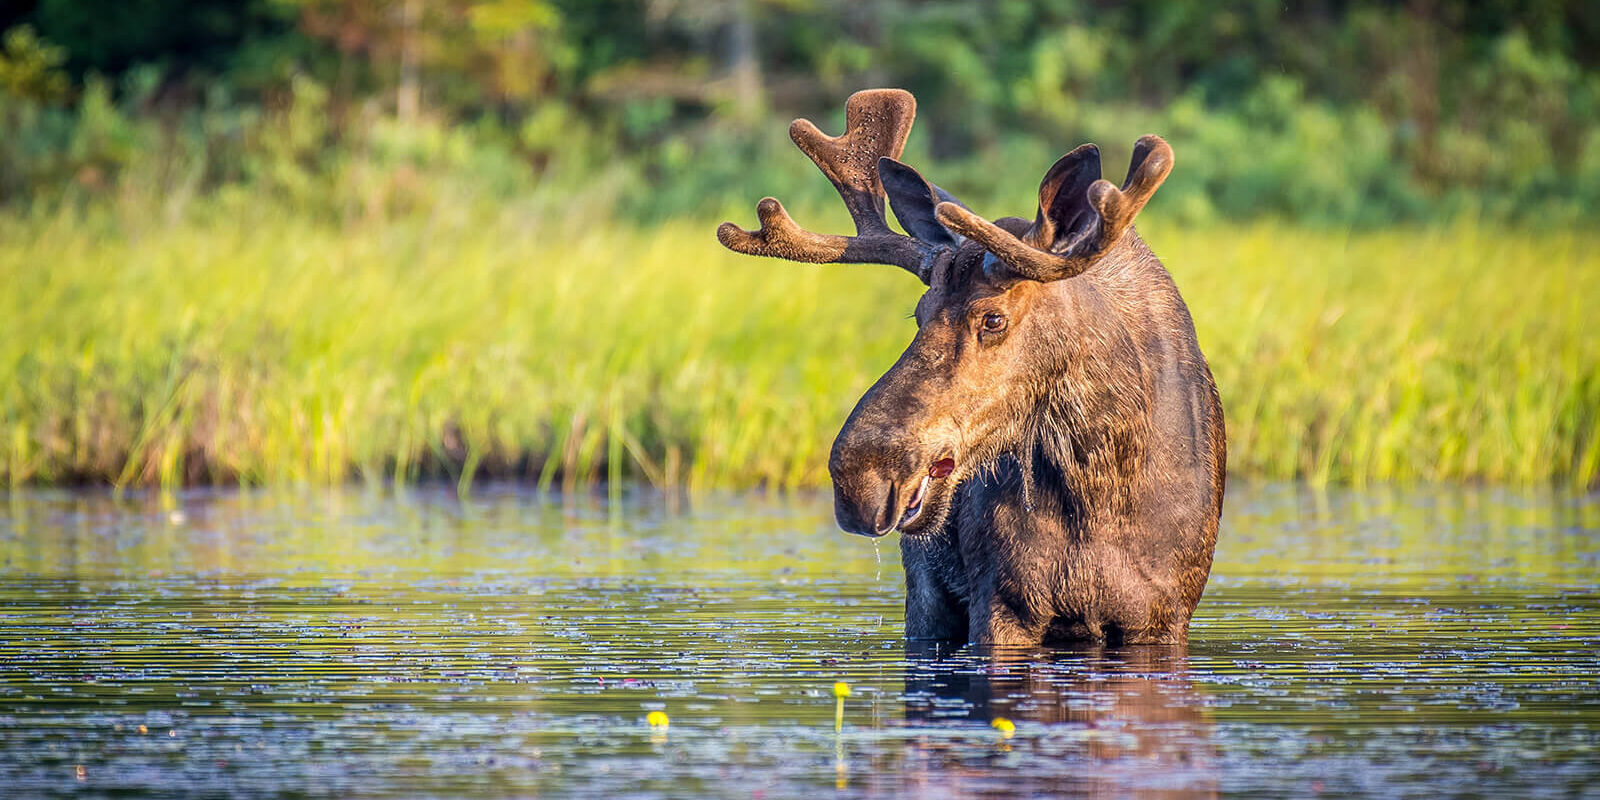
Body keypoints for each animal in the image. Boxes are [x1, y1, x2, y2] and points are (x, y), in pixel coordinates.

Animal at [713, 90, 1222, 646]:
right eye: (918, 313)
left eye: (993, 318)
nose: (861, 477)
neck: (1102, 488)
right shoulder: (1000, 602)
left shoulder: (1163, 615)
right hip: (925, 594)